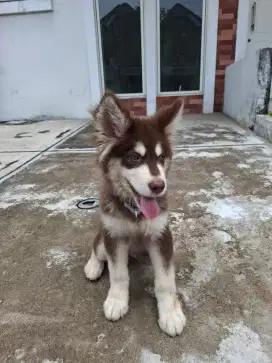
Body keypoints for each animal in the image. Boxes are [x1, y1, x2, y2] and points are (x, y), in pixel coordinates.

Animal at [84, 91, 187, 338]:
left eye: (161, 158)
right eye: (134, 157)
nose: (159, 186)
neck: (137, 213)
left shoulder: (161, 235)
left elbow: (166, 281)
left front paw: (170, 313)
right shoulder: (114, 235)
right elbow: (118, 274)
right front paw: (116, 301)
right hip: (103, 239)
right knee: (96, 247)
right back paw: (93, 266)